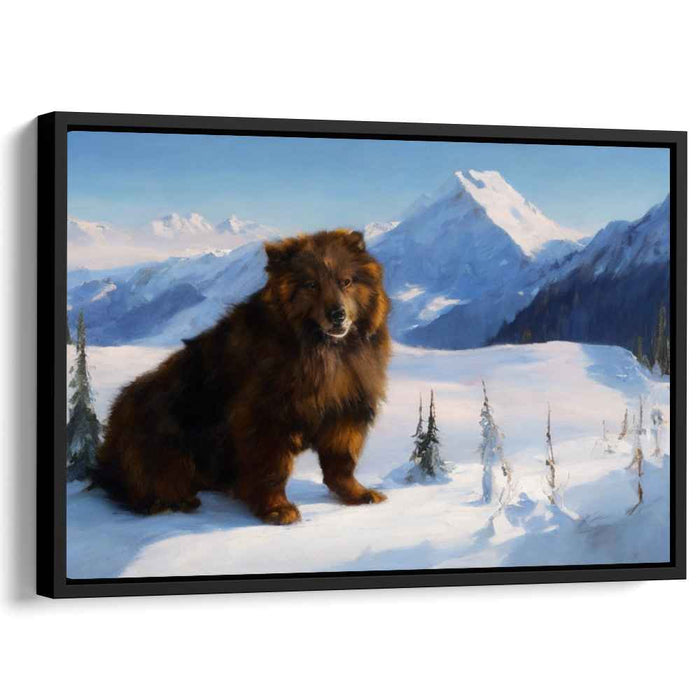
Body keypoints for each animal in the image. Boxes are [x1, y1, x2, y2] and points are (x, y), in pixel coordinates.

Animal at [94, 229, 392, 525]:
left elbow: (341, 462)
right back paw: (171, 500)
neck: (322, 351)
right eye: (311, 285)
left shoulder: (345, 409)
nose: (338, 315)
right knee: (148, 481)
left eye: (346, 282)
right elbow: (271, 467)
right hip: (161, 434)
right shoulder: (264, 416)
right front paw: (277, 508)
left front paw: (358, 493)